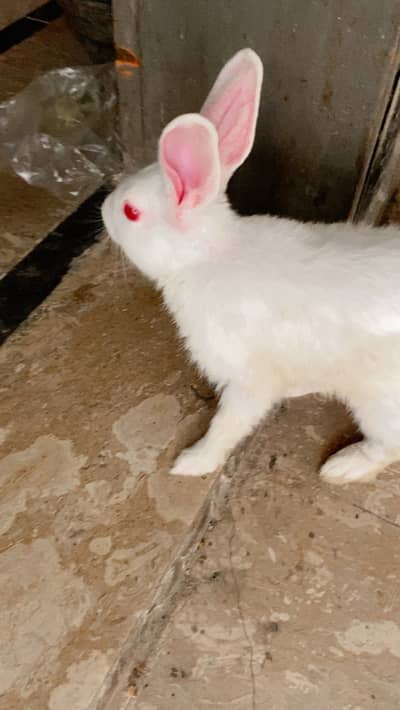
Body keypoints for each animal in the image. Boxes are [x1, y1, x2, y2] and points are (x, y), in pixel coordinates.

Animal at [102, 47, 400, 485]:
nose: (103, 210)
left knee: (387, 446)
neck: (208, 257)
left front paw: (192, 462)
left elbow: (227, 426)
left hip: (379, 404)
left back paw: (342, 467)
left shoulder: (247, 379)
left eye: (130, 212)